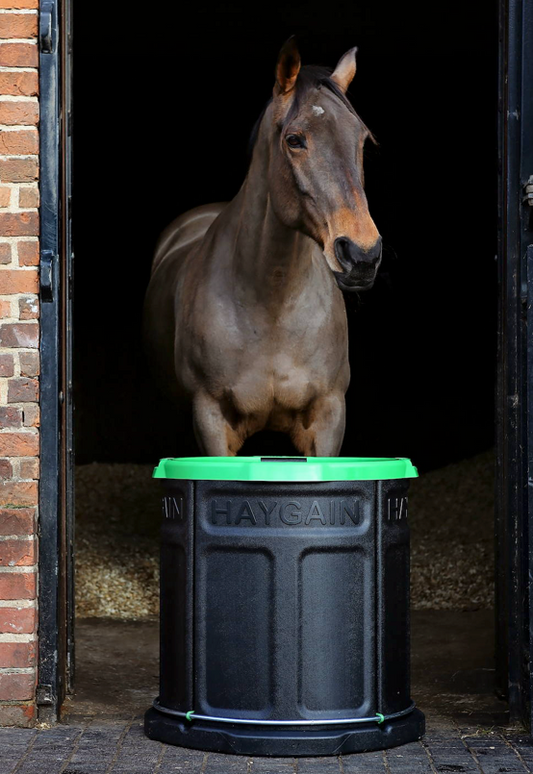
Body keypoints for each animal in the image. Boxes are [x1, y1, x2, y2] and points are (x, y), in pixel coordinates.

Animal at [143, 39, 380, 458]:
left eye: (362, 139)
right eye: (294, 140)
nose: (362, 255)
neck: (273, 308)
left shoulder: (329, 415)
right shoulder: (209, 418)